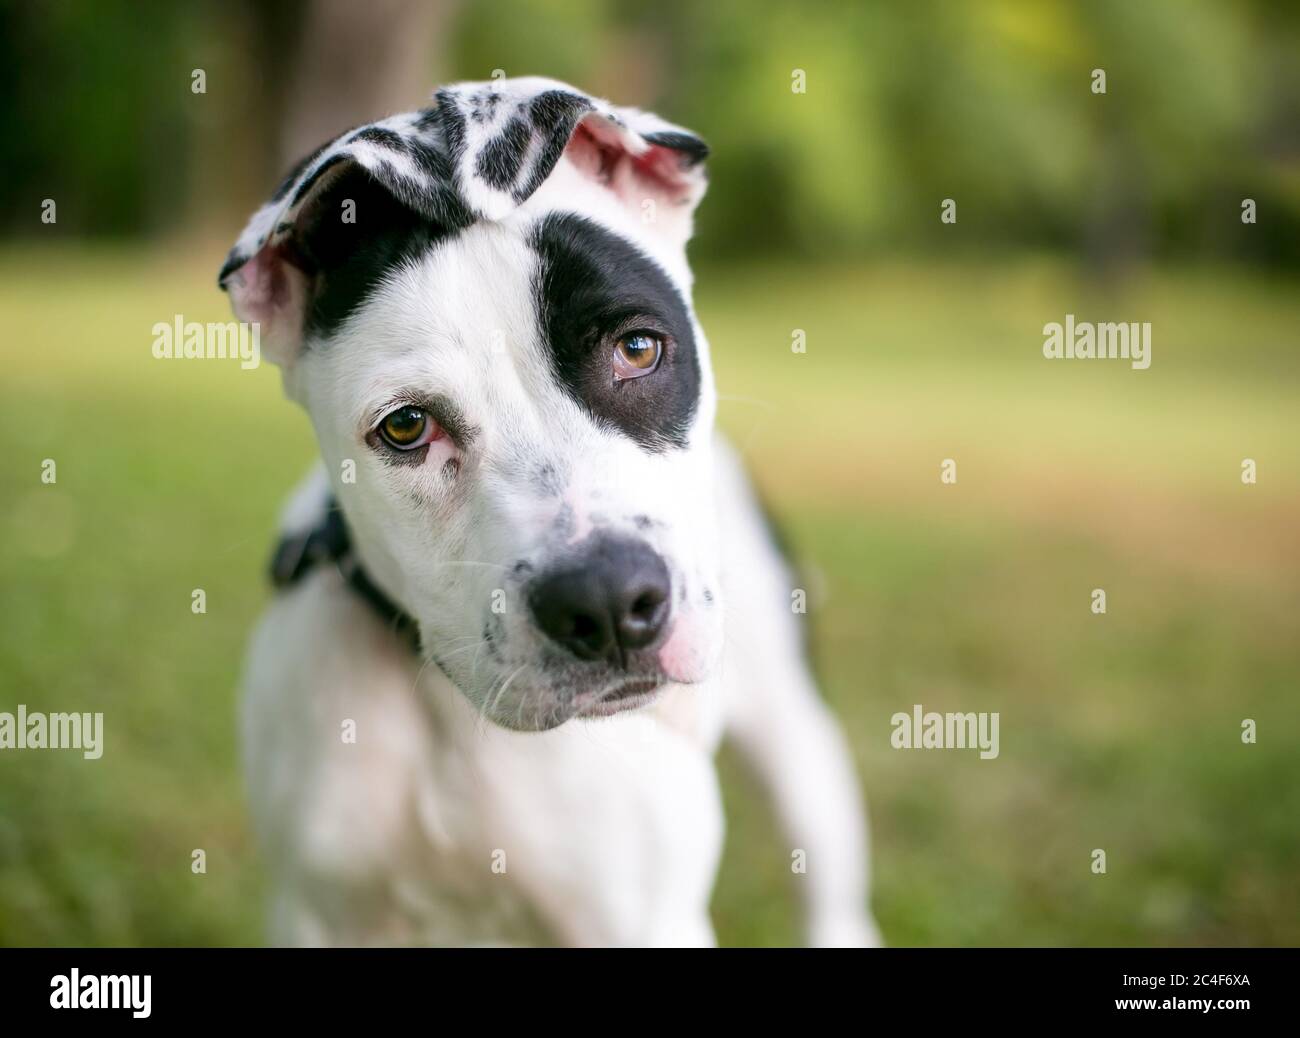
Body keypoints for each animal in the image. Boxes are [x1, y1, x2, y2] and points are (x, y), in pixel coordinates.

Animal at [218, 77, 878, 946]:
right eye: (405, 427)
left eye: (639, 349)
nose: (608, 602)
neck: (451, 713)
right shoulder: (319, 913)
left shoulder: (641, 919)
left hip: (799, 740)